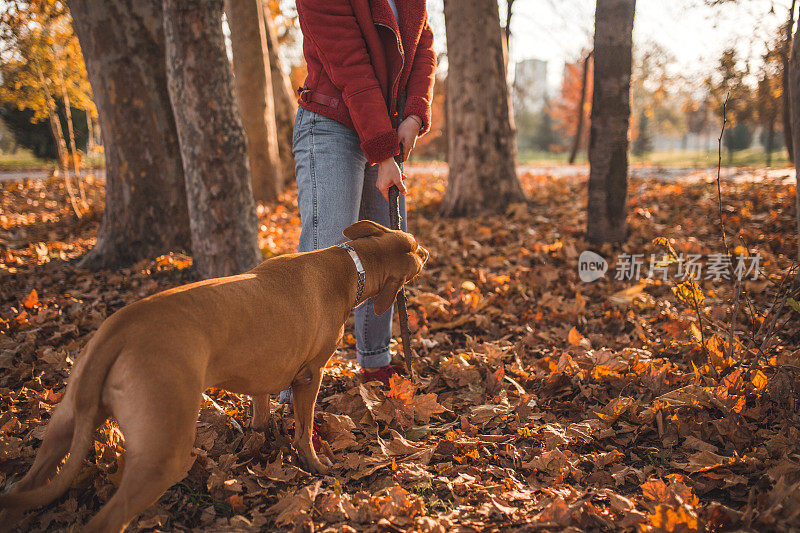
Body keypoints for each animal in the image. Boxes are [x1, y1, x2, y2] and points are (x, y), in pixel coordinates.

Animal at [0, 219, 428, 528]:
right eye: (417, 250)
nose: (427, 249)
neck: (350, 264)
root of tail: (121, 328)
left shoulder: (260, 380)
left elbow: (260, 418)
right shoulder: (309, 377)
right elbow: (304, 430)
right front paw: (316, 466)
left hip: (63, 428)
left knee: (26, 485)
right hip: (163, 452)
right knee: (105, 520)